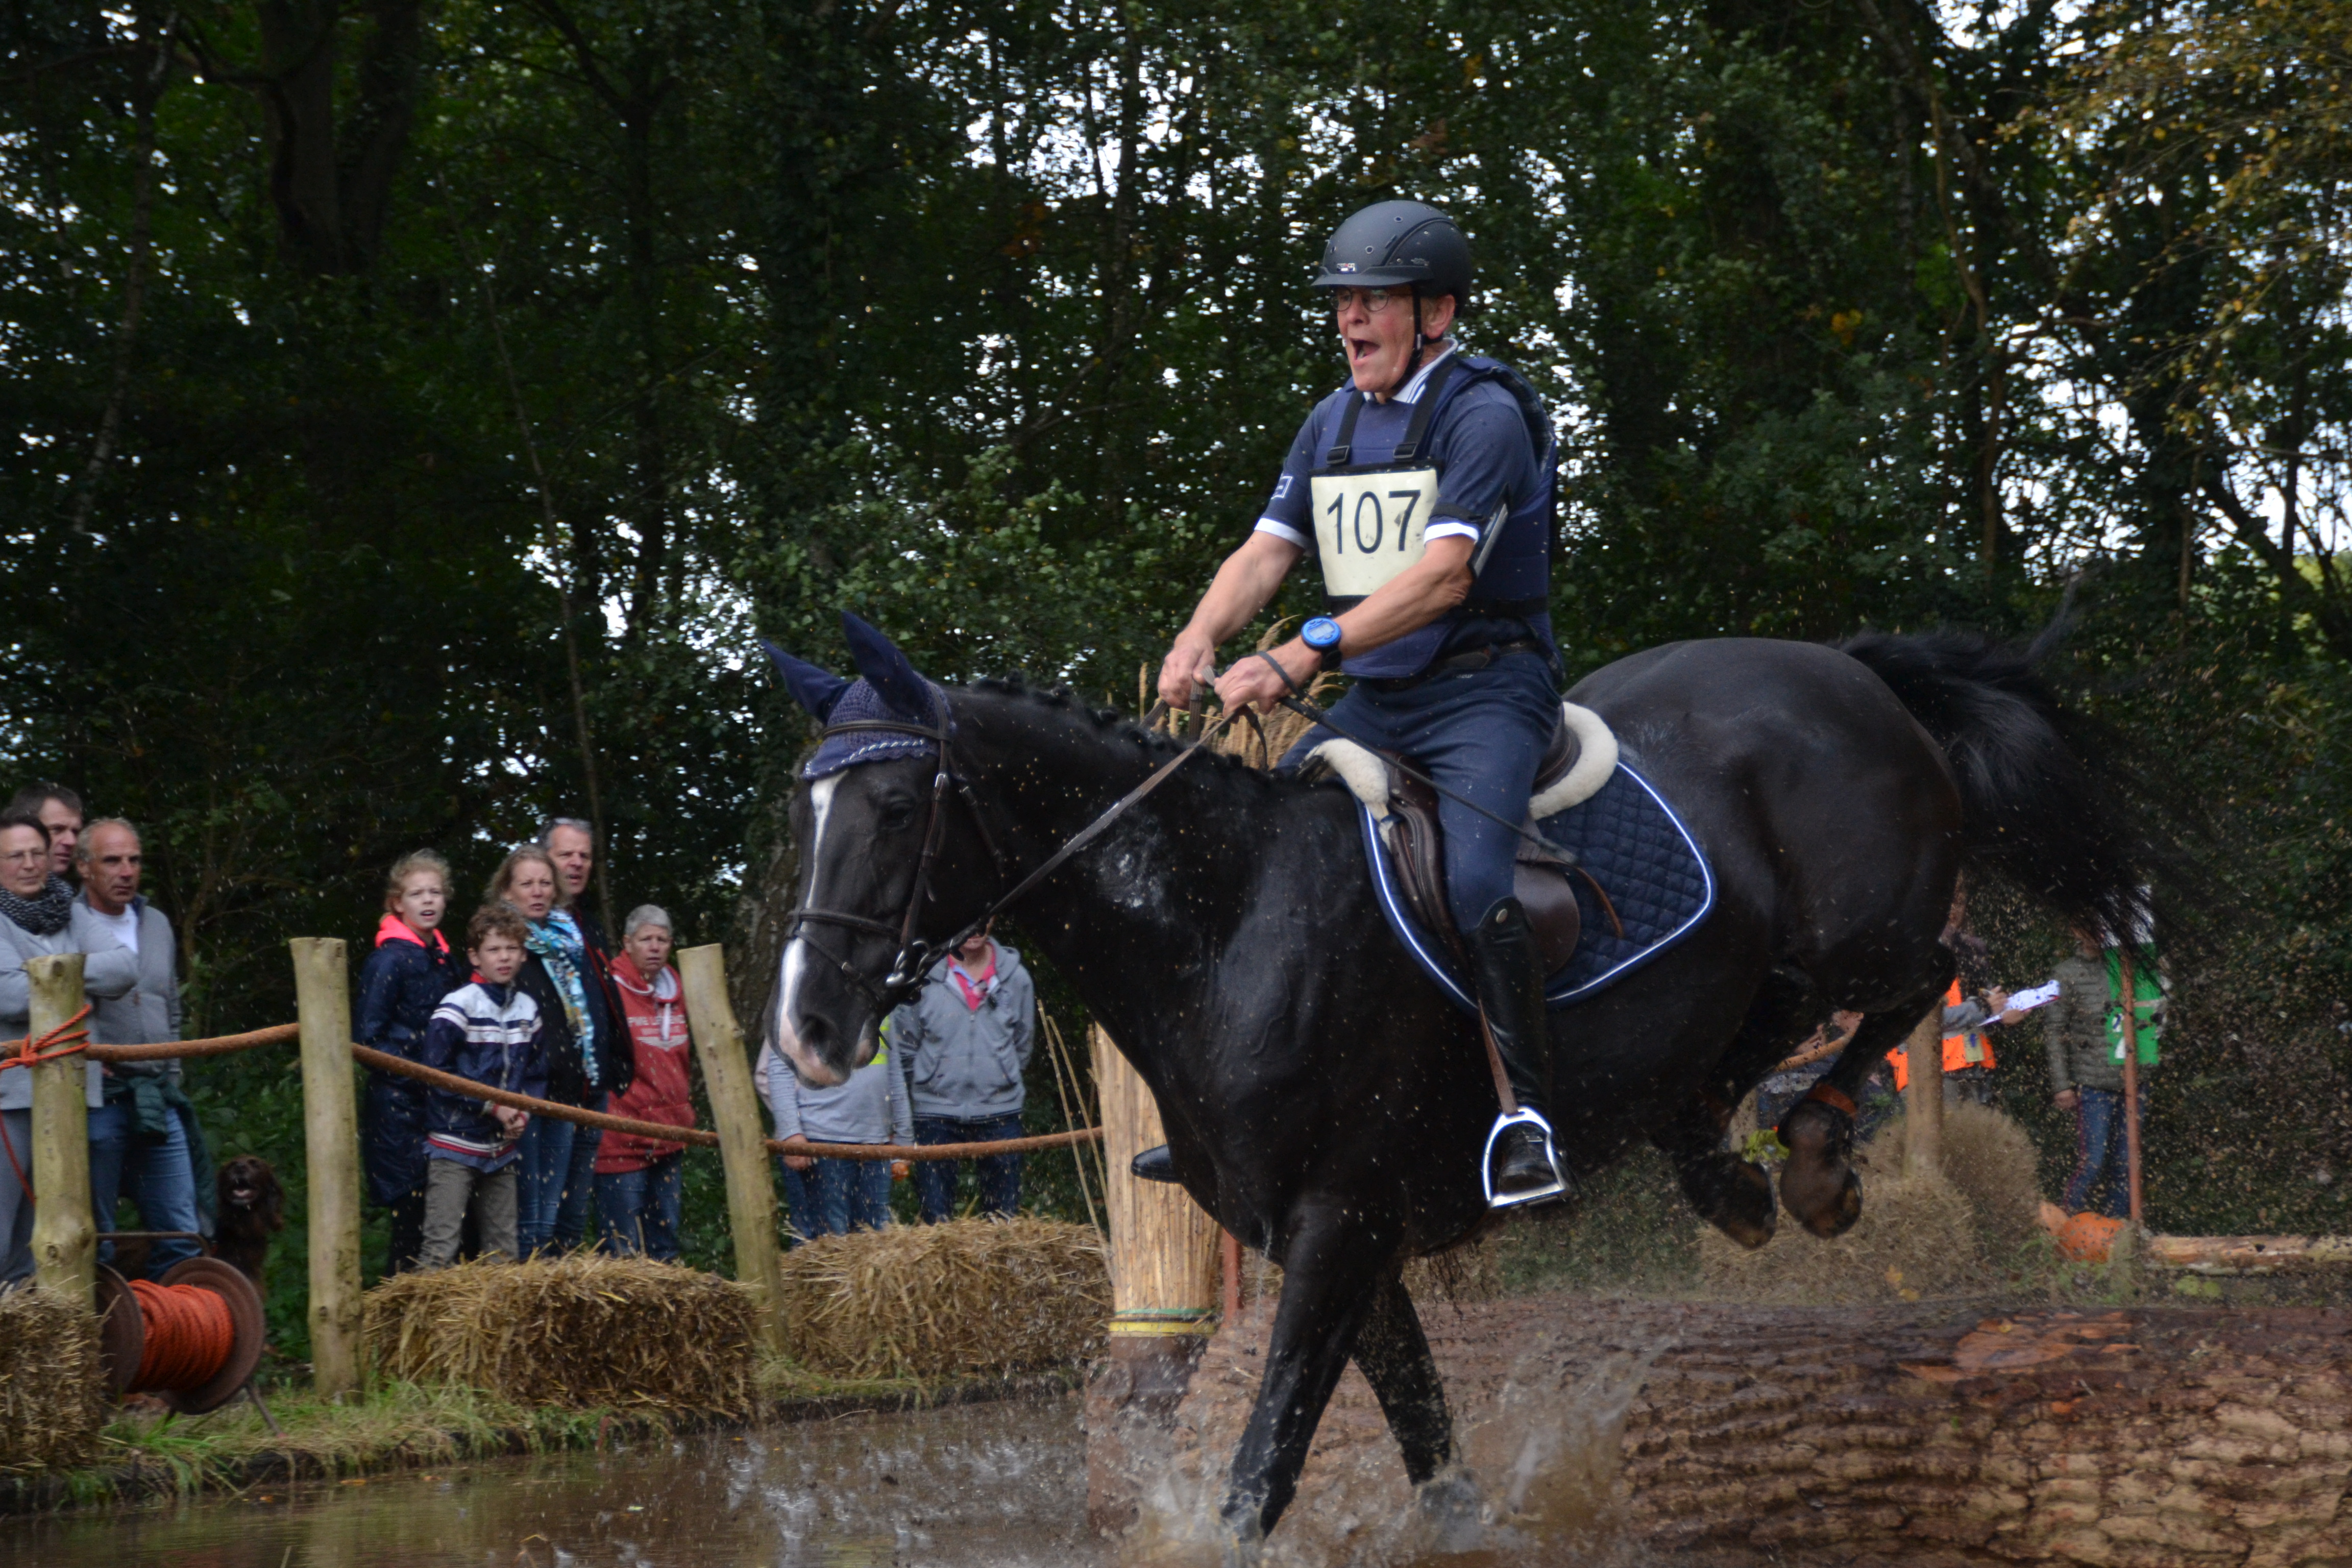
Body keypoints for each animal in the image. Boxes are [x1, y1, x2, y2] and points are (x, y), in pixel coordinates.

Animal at [763, 616, 2145, 1553]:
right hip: (1773, 962)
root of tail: (1850, 670)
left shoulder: (1340, 1224)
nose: (812, 1031)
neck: (1224, 926)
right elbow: (1431, 1448)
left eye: (897, 804)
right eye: (807, 808)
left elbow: (1262, 1469)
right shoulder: (1344, 1244)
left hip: (1864, 925)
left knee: (1919, 978)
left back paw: (1804, 1158)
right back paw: (1723, 1169)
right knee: (1752, 1036)